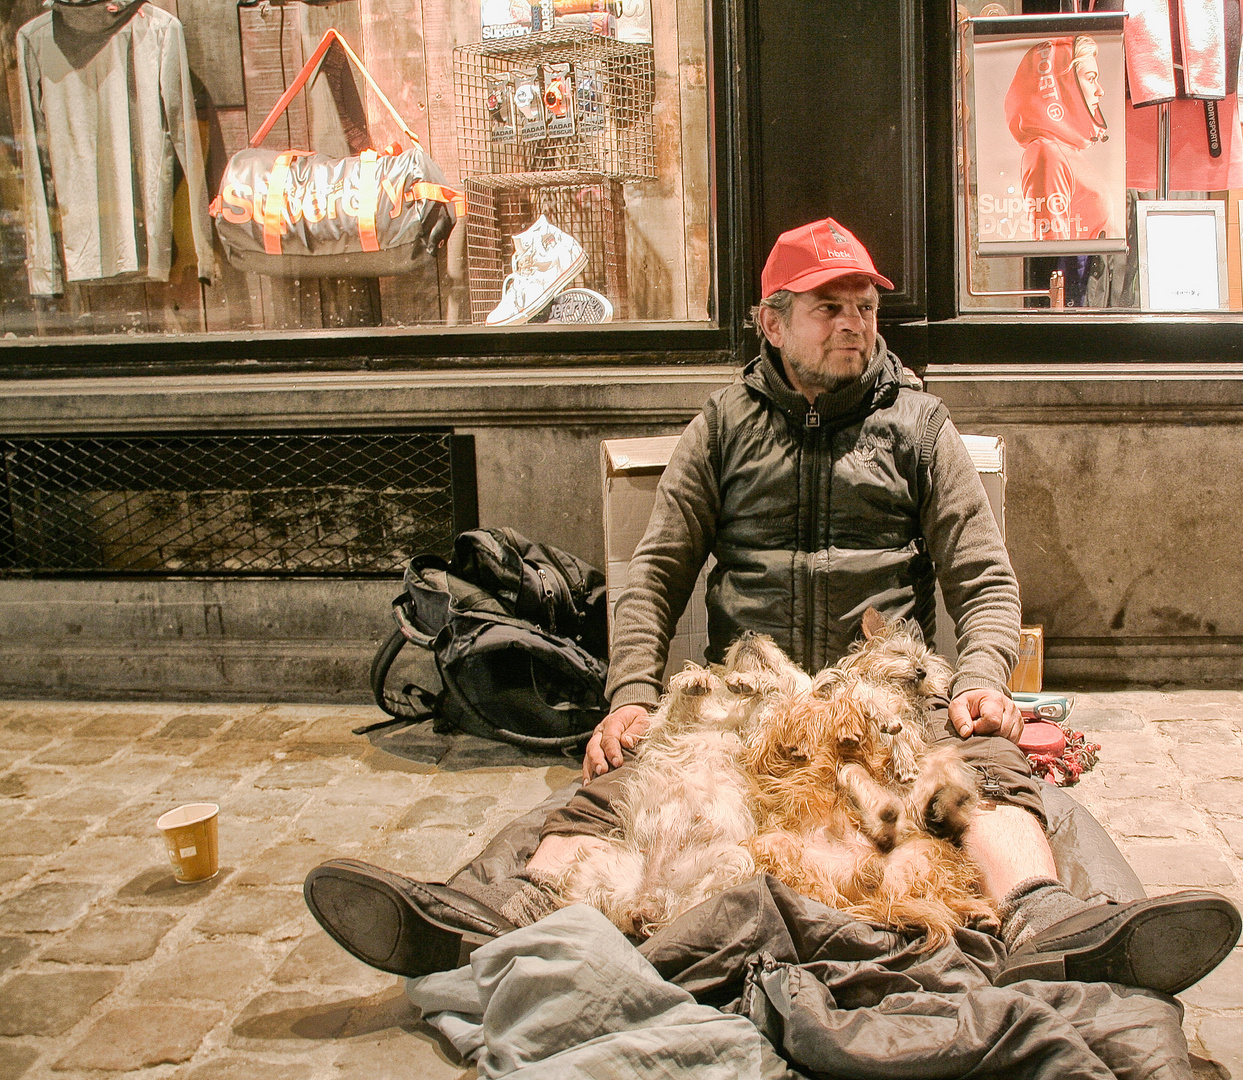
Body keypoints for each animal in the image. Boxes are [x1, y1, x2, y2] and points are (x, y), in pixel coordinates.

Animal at [559, 611, 994, 949]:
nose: (750, 632)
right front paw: (699, 680)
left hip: (732, 866)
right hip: (599, 869)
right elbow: (680, 705)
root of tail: (650, 899)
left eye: (783, 653)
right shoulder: (710, 732)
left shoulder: (765, 734)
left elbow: (787, 695)